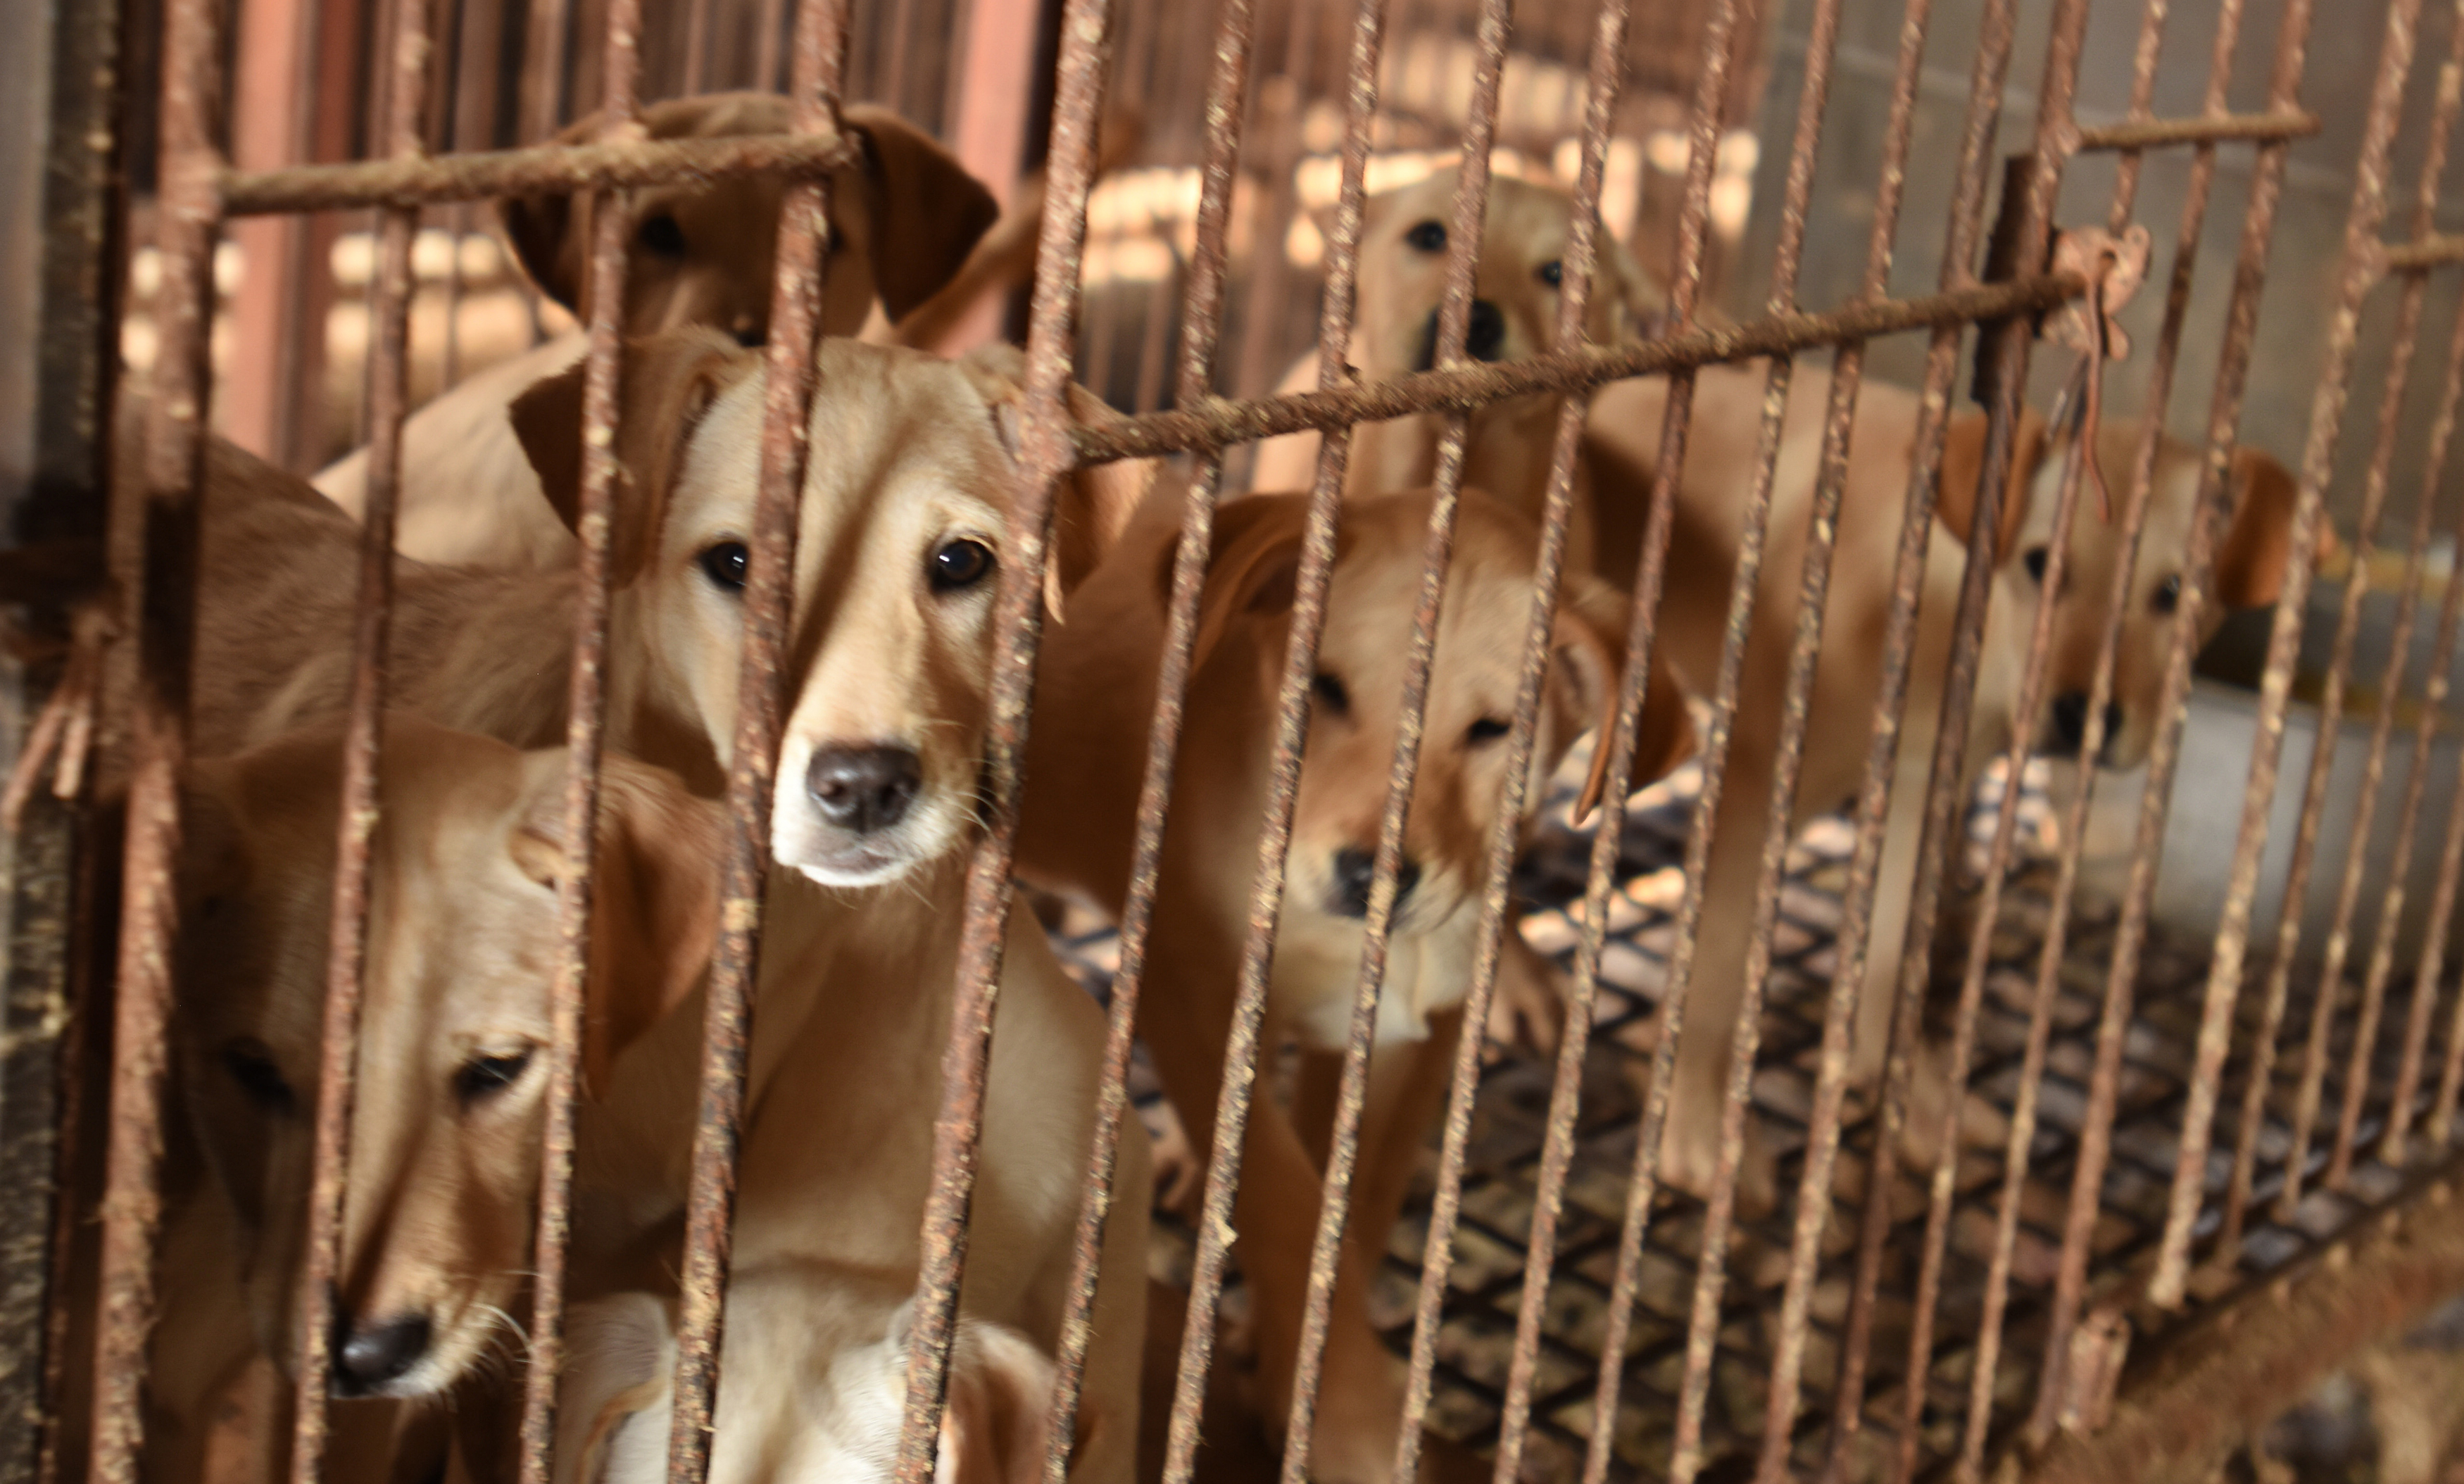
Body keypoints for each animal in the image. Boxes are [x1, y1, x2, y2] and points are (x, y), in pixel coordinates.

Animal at [1015, 488, 1695, 1478]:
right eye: (1325, 688)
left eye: (1494, 729)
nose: (1371, 875)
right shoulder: (1197, 1002)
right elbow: (1285, 1202)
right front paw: (1349, 1424)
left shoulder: (1408, 1037)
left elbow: (1354, 1205)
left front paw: (1286, 1367)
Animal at [1577, 365, 2326, 1207]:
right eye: (2041, 565)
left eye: (2175, 592)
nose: (2087, 715)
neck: (1935, 607)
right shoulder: (1753, 791)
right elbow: (1715, 969)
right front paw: (1703, 1133)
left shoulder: (1924, 797)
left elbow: (1891, 959)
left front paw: (1916, 1101)